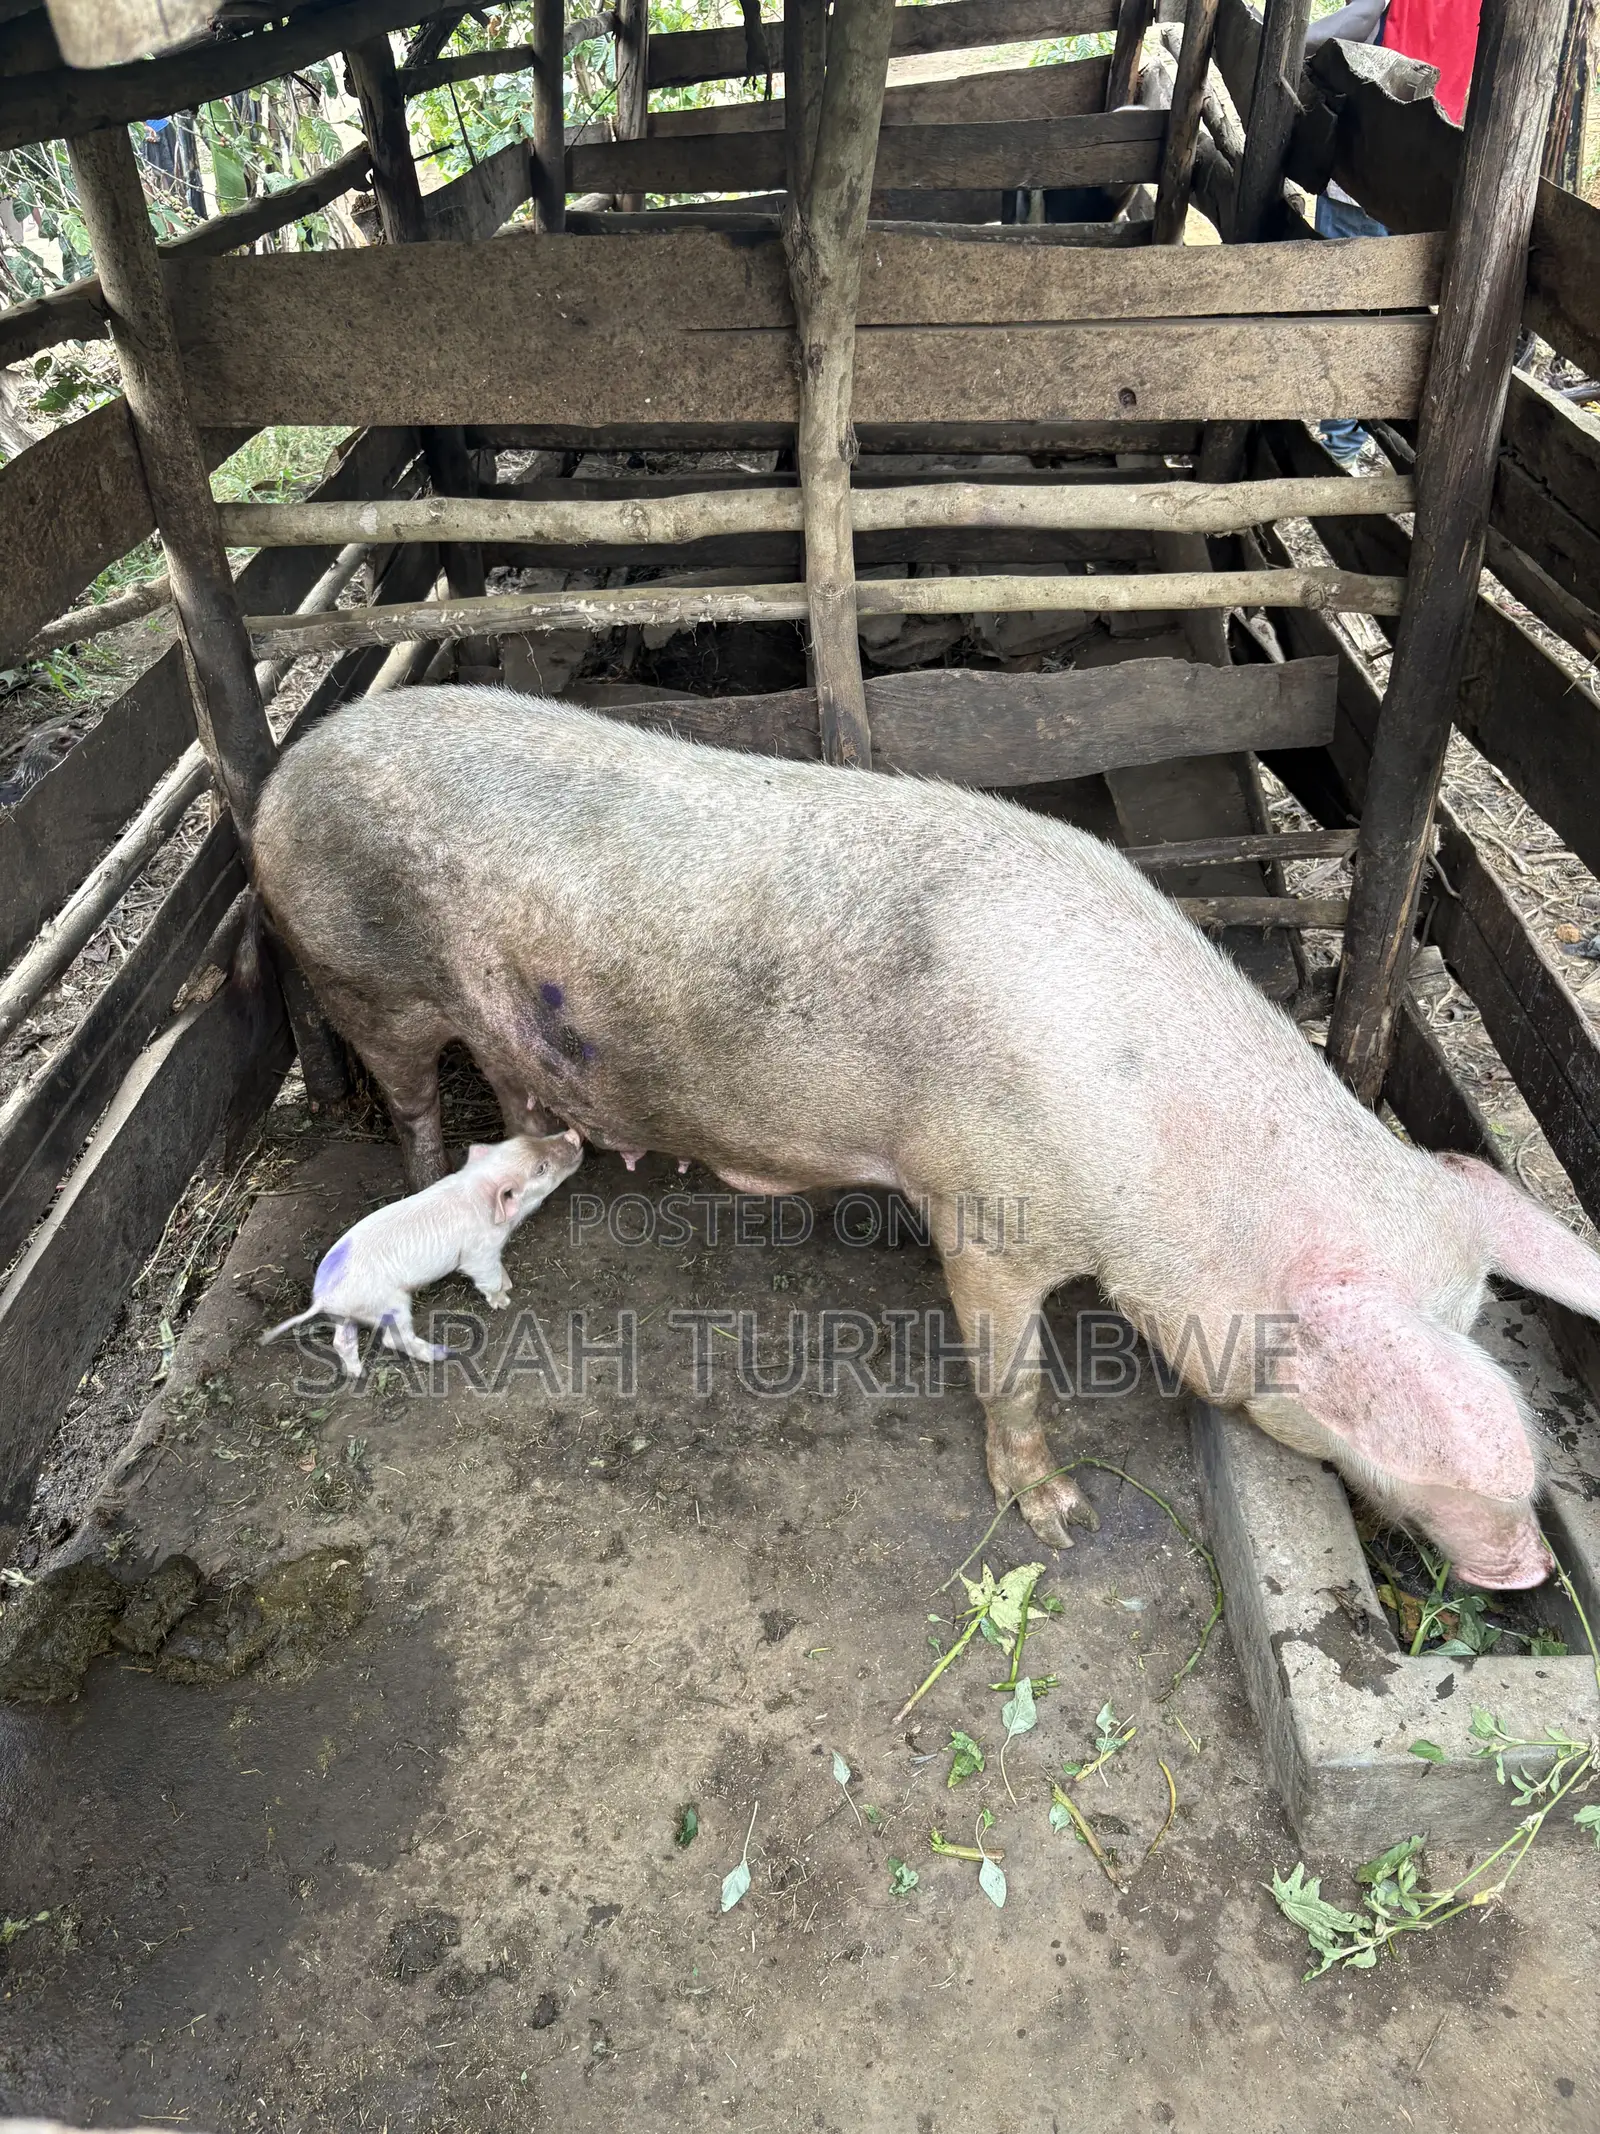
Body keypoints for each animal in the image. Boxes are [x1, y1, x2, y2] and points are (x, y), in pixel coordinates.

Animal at [260, 1129, 584, 1376]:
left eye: (531, 1137)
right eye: (540, 1168)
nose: (573, 1133)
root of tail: (323, 1297)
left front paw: (509, 1283)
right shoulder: (478, 1254)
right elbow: (486, 1277)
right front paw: (504, 1300)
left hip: (347, 1314)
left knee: (342, 1340)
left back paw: (356, 1373)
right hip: (390, 1303)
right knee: (392, 1339)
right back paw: (439, 1354)